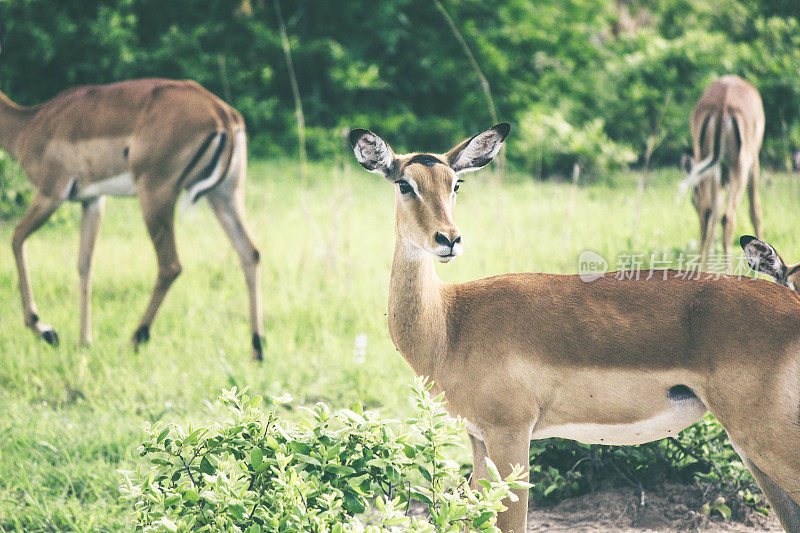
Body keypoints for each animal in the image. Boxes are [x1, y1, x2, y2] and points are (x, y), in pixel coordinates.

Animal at [0, 79, 266, 360]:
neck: (28, 124)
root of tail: (222, 113)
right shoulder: (92, 201)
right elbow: (85, 264)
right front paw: (84, 341)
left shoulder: (50, 194)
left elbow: (16, 239)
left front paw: (45, 330)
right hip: (225, 195)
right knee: (250, 253)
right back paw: (257, 350)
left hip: (154, 196)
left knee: (171, 265)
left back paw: (135, 339)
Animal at [354, 123, 800, 532]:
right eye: (405, 184)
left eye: (455, 183)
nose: (448, 239)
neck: (450, 323)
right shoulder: (478, 438)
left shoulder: (510, 433)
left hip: (767, 439)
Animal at [680, 75, 764, 272]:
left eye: (692, 200)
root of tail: (723, 102)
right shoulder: (754, 162)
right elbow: (755, 211)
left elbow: (713, 212)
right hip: (739, 167)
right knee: (728, 217)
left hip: (709, 164)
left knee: (709, 213)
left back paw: (699, 271)